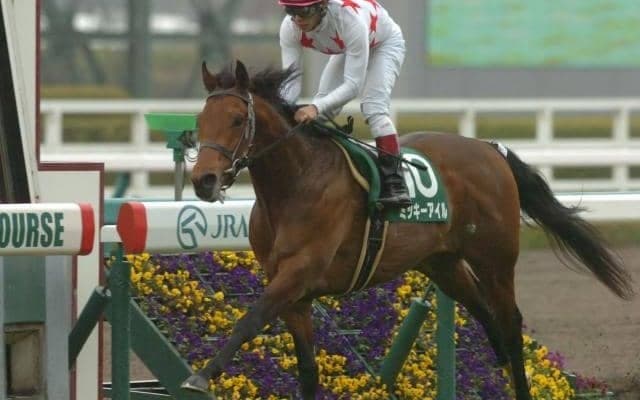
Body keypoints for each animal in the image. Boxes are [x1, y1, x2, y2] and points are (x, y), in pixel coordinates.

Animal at [181, 60, 634, 400]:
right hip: (444, 265)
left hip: (495, 260)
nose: (203, 180)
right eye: (201, 119)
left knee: (510, 323)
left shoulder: (299, 273)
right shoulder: (294, 293)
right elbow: (307, 370)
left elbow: (249, 320)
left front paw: (199, 376)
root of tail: (489, 149)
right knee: (488, 318)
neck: (296, 183)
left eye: (236, 119)